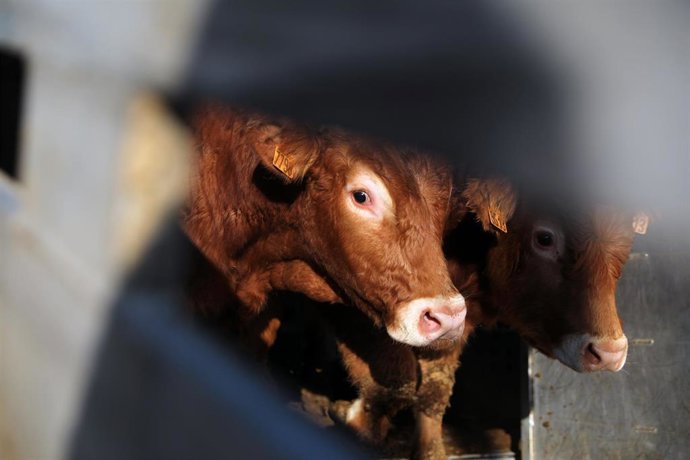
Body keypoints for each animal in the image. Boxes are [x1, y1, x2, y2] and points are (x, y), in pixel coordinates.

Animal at [327, 177, 638, 459]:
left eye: (628, 241)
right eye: (545, 238)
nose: (609, 353)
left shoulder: (449, 322)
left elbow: (434, 392)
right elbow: (392, 384)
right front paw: (351, 418)